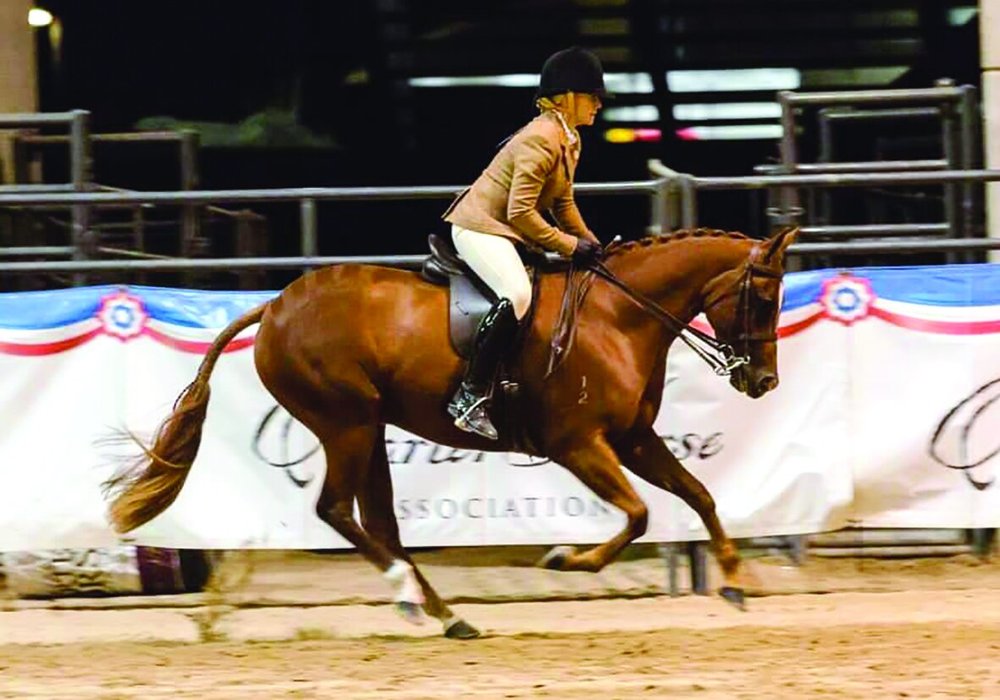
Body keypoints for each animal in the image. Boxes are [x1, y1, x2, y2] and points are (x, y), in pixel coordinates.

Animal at [103, 225, 799, 640]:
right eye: (764, 300)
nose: (763, 381)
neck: (618, 318)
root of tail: (273, 307)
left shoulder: (631, 439)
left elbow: (698, 495)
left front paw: (734, 581)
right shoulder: (579, 445)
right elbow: (639, 515)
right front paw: (567, 559)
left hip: (367, 429)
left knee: (378, 522)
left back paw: (442, 613)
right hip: (347, 423)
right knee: (335, 511)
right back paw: (407, 592)